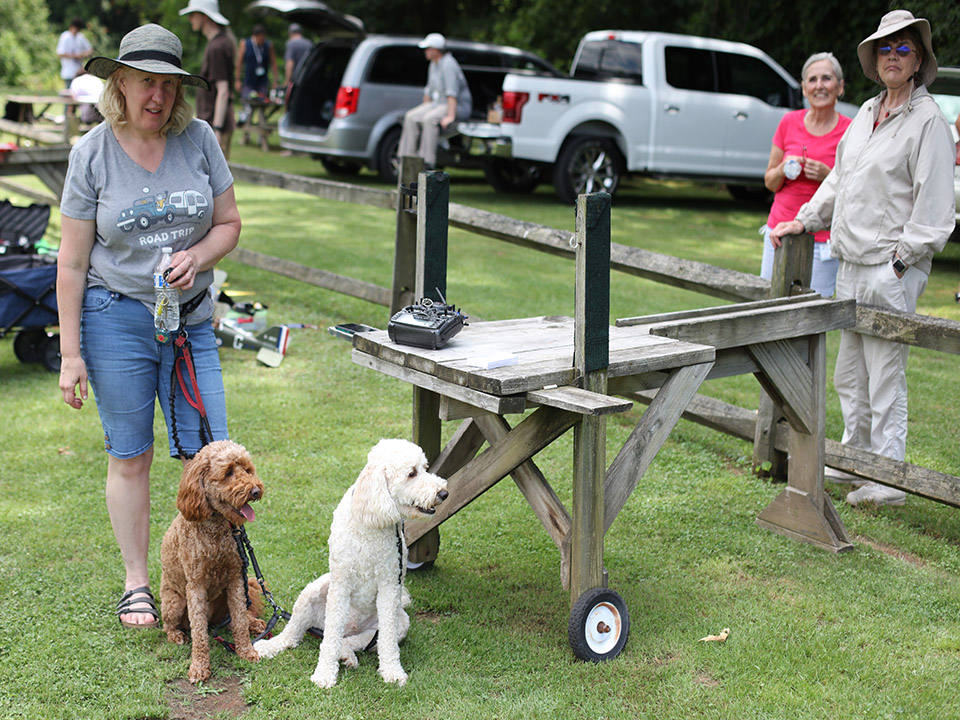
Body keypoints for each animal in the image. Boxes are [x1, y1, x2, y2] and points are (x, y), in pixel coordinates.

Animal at [160, 442, 266, 684]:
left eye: (247, 469)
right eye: (228, 472)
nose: (256, 491)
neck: (216, 529)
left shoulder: (235, 578)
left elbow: (239, 619)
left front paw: (246, 651)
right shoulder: (195, 586)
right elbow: (198, 631)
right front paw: (199, 667)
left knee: (237, 617)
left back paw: (253, 623)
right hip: (174, 602)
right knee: (169, 626)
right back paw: (176, 635)